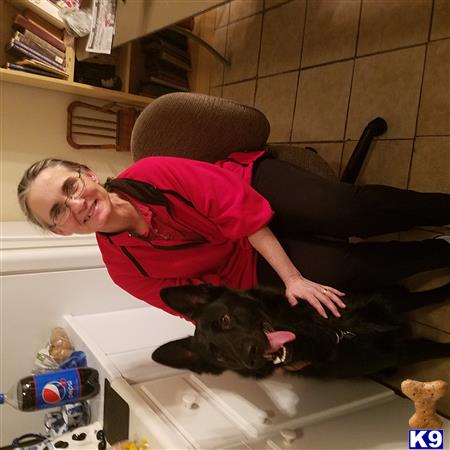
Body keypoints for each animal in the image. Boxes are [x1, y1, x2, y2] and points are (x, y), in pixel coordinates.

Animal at [152, 284, 450, 378]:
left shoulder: (388, 300)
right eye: (219, 356)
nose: (251, 355)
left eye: (224, 319)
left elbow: (430, 295)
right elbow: (440, 347)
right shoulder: (398, 353)